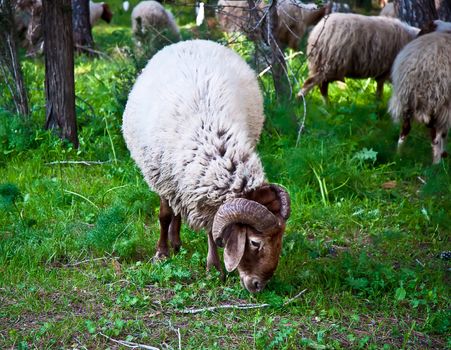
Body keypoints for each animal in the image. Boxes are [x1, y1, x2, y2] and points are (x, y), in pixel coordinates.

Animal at [122, 40, 292, 292]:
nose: (258, 285)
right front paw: (162, 254)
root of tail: (192, 41)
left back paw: (176, 241)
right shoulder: (162, 176)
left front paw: (213, 267)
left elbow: (211, 229)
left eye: (281, 239)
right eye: (254, 242)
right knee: (173, 209)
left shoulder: (202, 194)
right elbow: (164, 215)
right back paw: (172, 243)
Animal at [388, 30, 451, 163]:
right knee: (437, 135)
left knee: (405, 129)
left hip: (406, 99)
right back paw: (437, 162)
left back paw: (398, 156)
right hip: (440, 102)